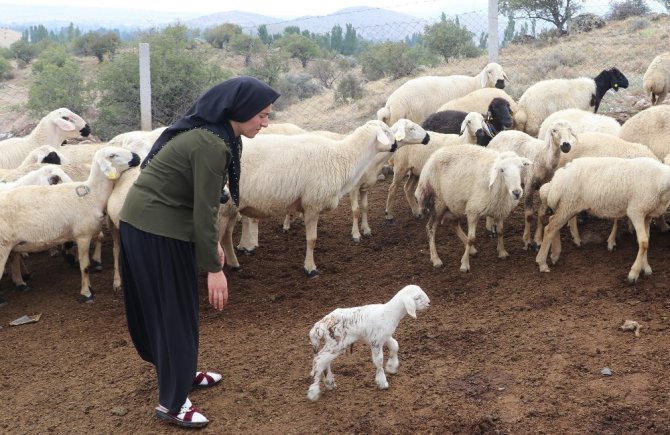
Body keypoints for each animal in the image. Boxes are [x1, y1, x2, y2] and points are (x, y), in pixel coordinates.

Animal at [0, 146, 140, 304]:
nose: (137, 157)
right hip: (2, 247)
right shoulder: (83, 236)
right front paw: (87, 294)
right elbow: (85, 266)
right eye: (112, 155)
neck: (92, 194)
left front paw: (89, 288)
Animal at [219, 119, 400, 276]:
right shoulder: (313, 204)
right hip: (223, 207)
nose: (396, 145)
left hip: (231, 207)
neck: (343, 156)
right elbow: (312, 239)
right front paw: (310, 268)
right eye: (386, 131)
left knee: (226, 236)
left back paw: (234, 264)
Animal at [486, 119, 580, 250]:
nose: (566, 145)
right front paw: (527, 241)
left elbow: (541, 214)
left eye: (570, 130)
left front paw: (538, 241)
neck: (544, 158)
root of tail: (499, 134)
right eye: (554, 130)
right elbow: (529, 215)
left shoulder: (544, 188)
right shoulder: (529, 186)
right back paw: (490, 228)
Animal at [536, 158, 670, 284]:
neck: (660, 180)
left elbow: (647, 240)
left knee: (553, 223)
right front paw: (633, 274)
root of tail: (559, 175)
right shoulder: (636, 212)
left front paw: (645, 267)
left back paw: (555, 255)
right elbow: (643, 242)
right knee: (550, 228)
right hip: (568, 202)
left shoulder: (647, 215)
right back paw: (542, 263)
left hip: (568, 204)